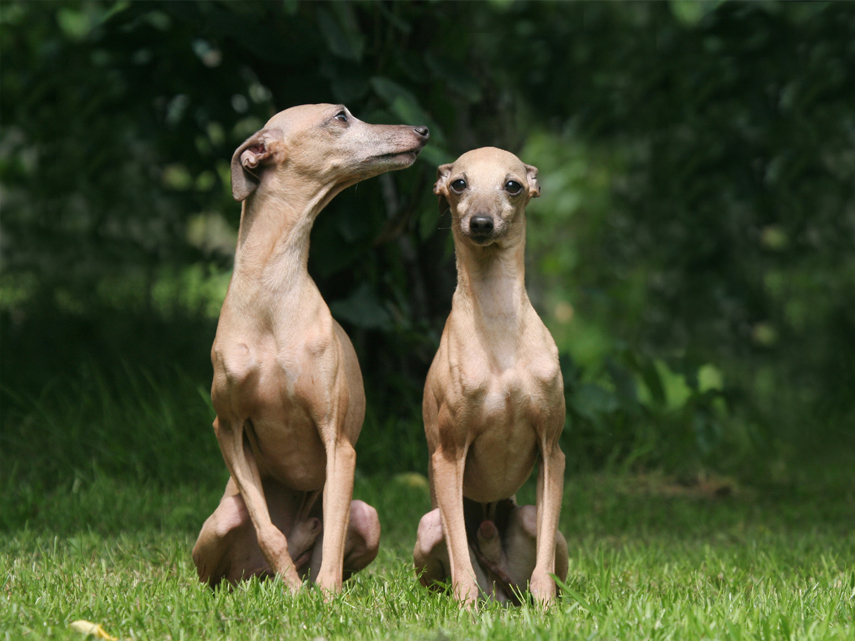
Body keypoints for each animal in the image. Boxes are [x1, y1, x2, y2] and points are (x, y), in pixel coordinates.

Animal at [196, 102, 432, 592]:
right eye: (341, 116)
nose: (421, 130)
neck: (270, 297)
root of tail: (253, 576)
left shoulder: (337, 440)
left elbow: (334, 527)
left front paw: (324, 598)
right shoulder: (226, 426)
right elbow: (268, 531)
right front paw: (291, 595)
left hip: (369, 516)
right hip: (223, 522)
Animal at [414, 146, 568, 604]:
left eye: (512, 185)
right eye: (458, 183)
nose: (480, 223)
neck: (499, 327)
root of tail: (502, 590)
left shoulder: (553, 450)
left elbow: (544, 563)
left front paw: (547, 606)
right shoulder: (448, 455)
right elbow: (460, 558)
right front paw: (465, 606)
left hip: (532, 520)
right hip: (429, 527)